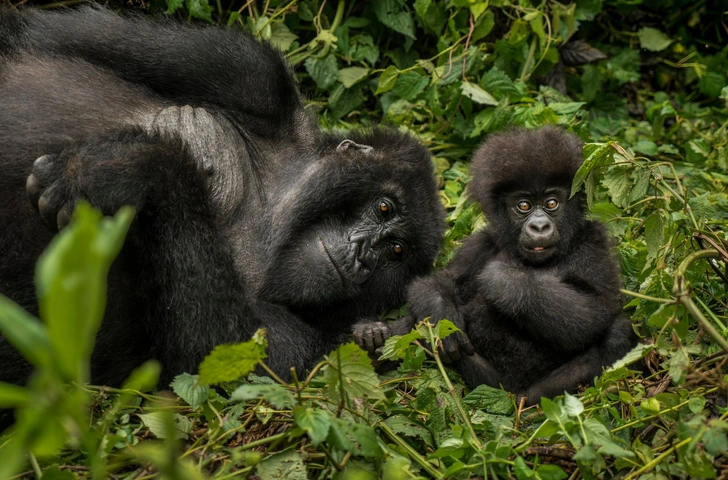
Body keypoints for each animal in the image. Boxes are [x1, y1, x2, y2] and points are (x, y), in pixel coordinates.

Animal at [0, 7, 444, 388]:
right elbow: (38, 34)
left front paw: (138, 167)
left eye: (396, 251)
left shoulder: (314, 346)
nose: (363, 255)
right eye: (384, 208)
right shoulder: (252, 74)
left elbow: (216, 359)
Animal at [356, 125, 636, 404]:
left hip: (530, 392)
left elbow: (595, 309)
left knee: (618, 332)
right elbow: (438, 282)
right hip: (487, 382)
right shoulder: (482, 241)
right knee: (418, 323)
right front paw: (442, 313)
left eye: (551, 203)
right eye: (523, 205)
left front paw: (505, 281)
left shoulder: (593, 241)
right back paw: (372, 340)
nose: (539, 226)